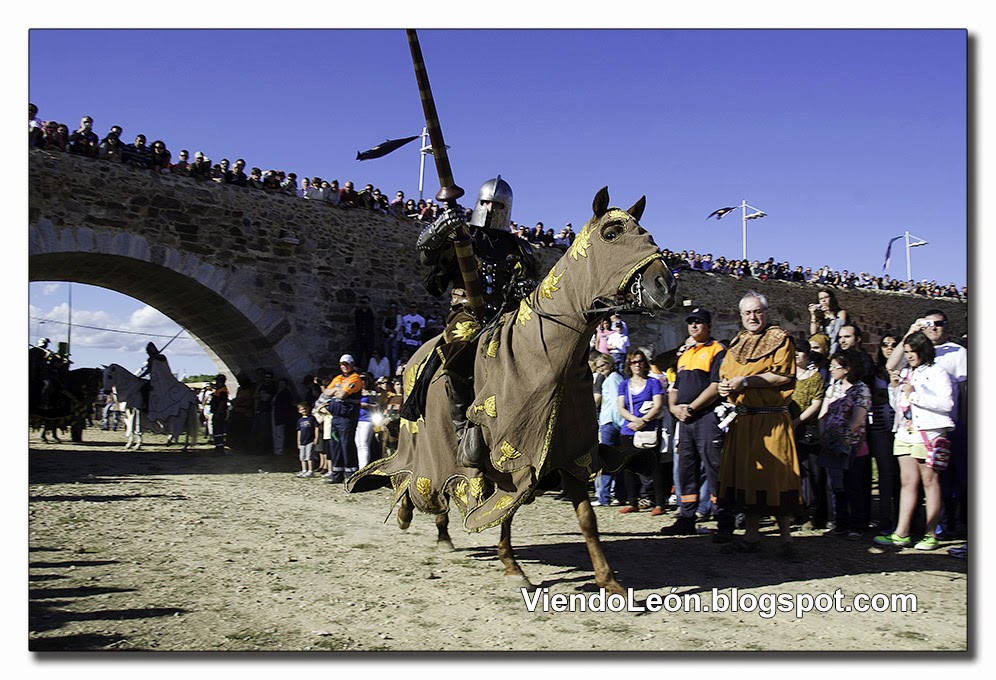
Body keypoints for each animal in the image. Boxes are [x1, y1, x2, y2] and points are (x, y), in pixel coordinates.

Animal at [346, 189, 680, 592]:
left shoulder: (570, 454)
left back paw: (432, 527)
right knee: (410, 475)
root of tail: (411, 361)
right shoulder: (511, 457)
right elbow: (507, 509)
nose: (666, 286)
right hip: (422, 438)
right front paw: (512, 565)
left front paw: (608, 580)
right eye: (611, 234)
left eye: (645, 233)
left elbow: (586, 518)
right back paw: (415, 518)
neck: (544, 353)